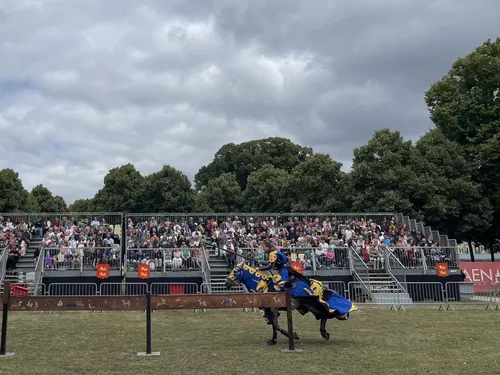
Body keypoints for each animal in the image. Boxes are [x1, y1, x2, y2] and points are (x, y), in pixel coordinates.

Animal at [225, 262, 358, 346]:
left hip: (313, 304)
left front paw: (274, 340)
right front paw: (292, 335)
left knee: (326, 313)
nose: (226, 283)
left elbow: (275, 326)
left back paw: (325, 332)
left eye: (235, 271)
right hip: (310, 306)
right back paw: (324, 333)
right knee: (324, 315)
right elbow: (277, 326)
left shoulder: (273, 310)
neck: (262, 285)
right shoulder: (271, 311)